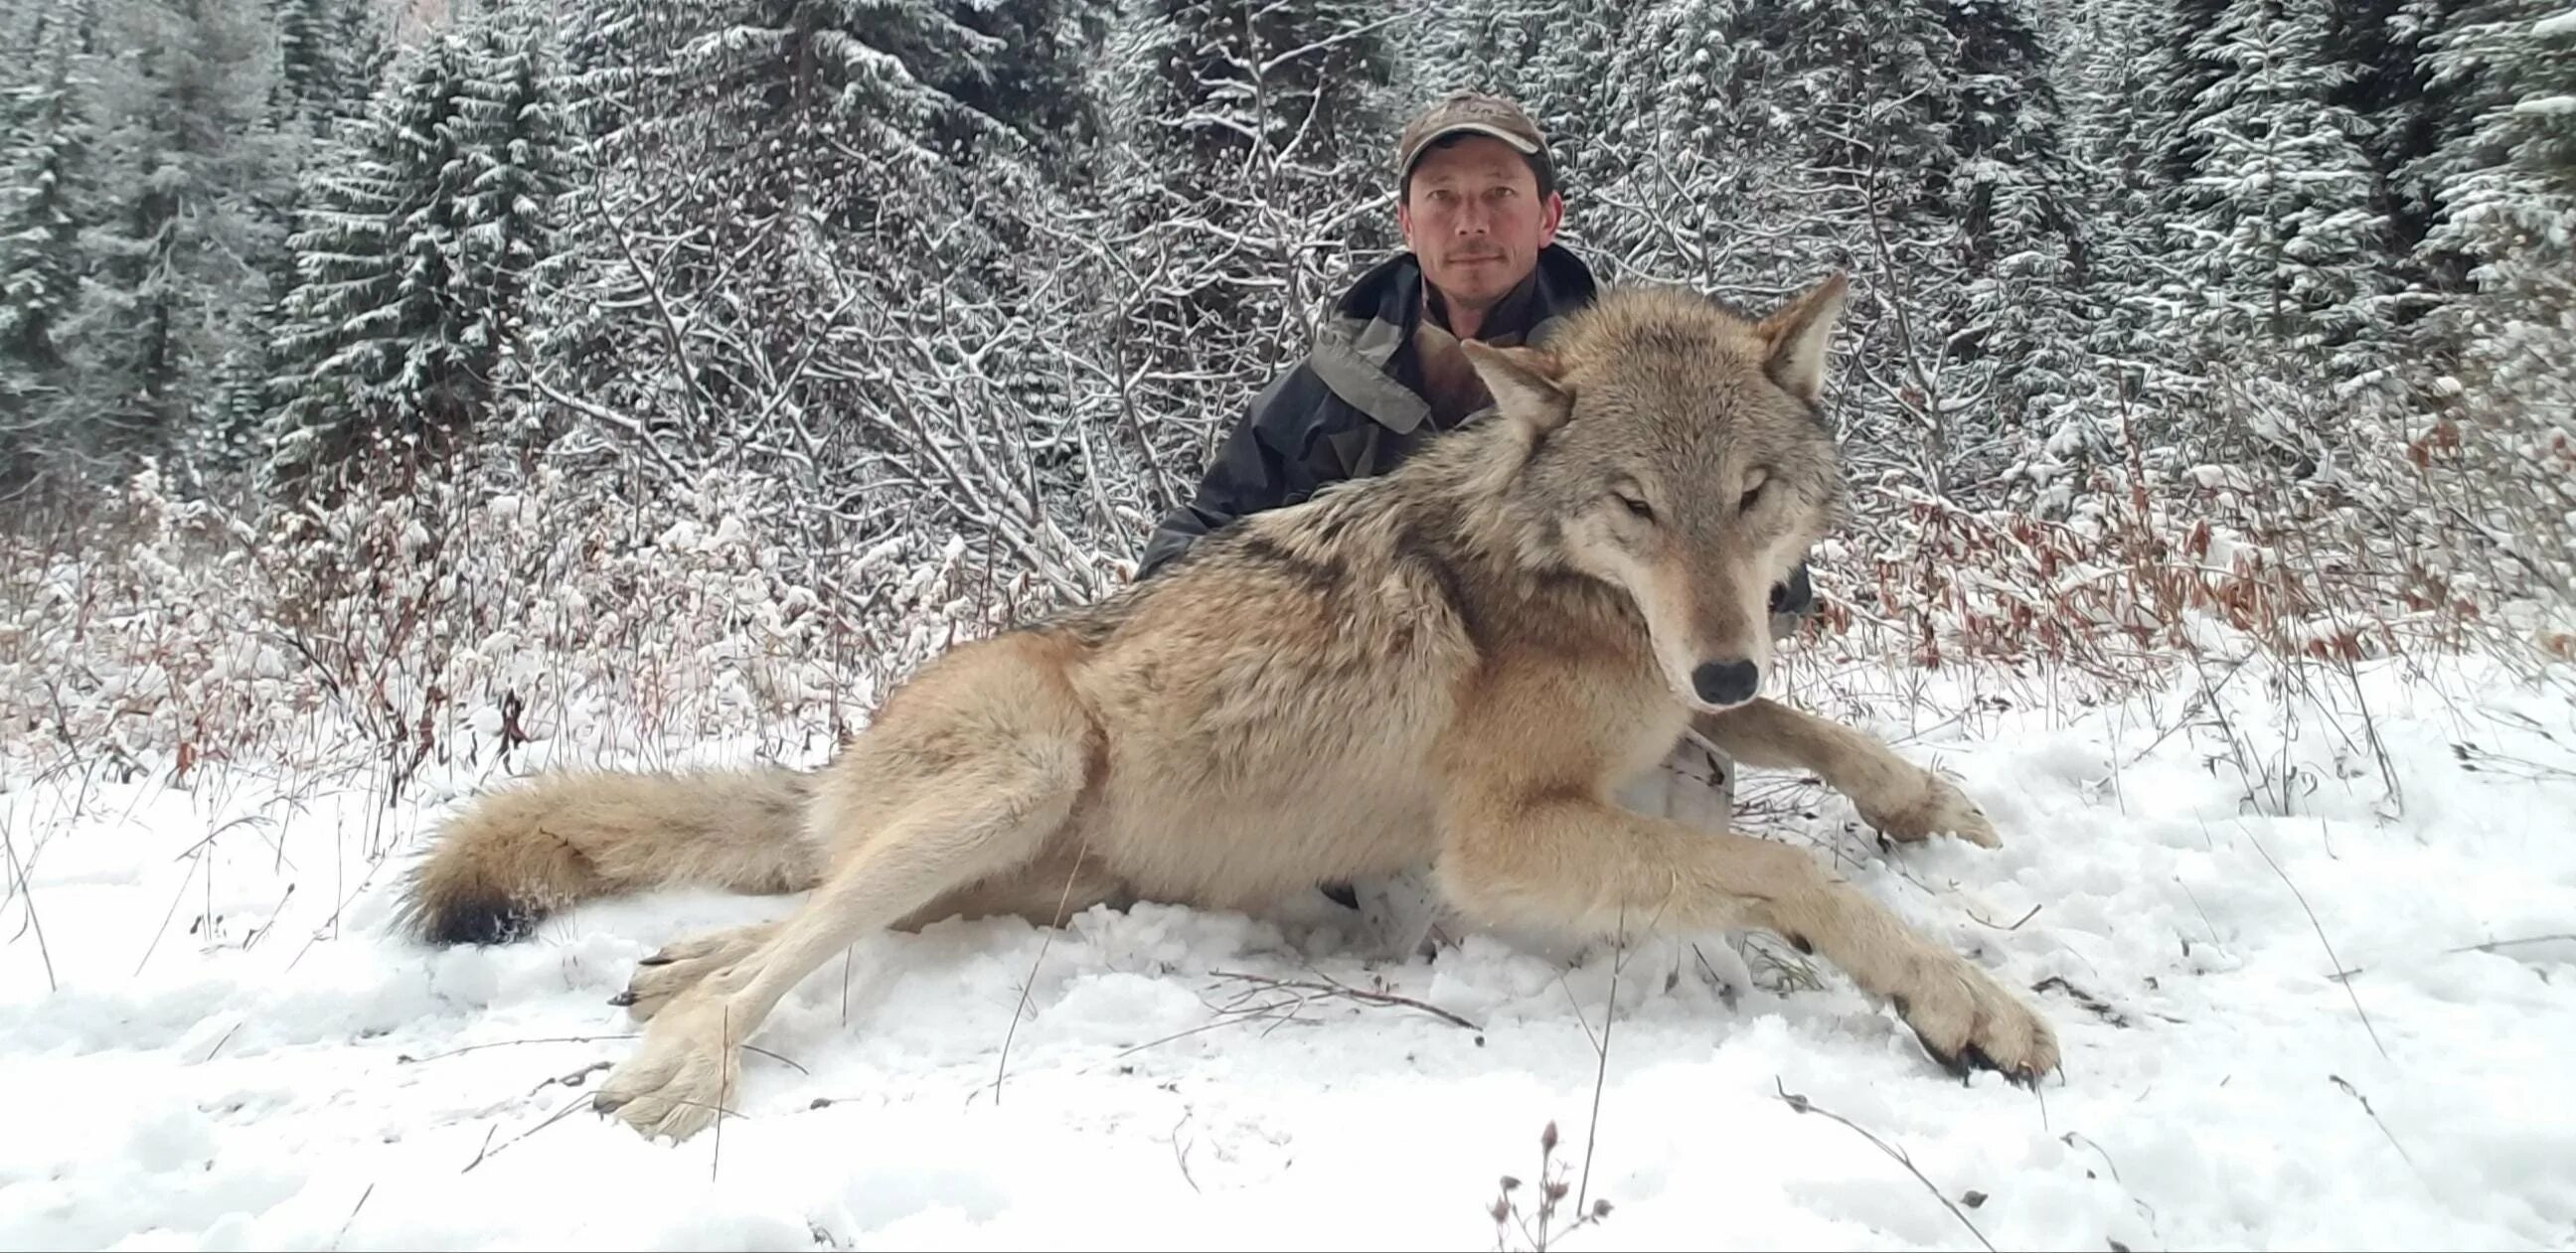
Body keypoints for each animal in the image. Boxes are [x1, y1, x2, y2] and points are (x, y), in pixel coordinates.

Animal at [391, 278, 2060, 1139]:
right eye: (1640, 506)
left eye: (1753, 494)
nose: (1721, 661)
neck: (1560, 586)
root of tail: (837, 766)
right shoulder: (1504, 838)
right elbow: (1782, 865)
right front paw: (1968, 1004)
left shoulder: (1678, 705)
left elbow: (1808, 735)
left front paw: (1930, 804)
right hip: (1023, 771)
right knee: (799, 933)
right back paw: (677, 1064)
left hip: (1016, 871)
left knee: (801, 913)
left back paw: (671, 972)